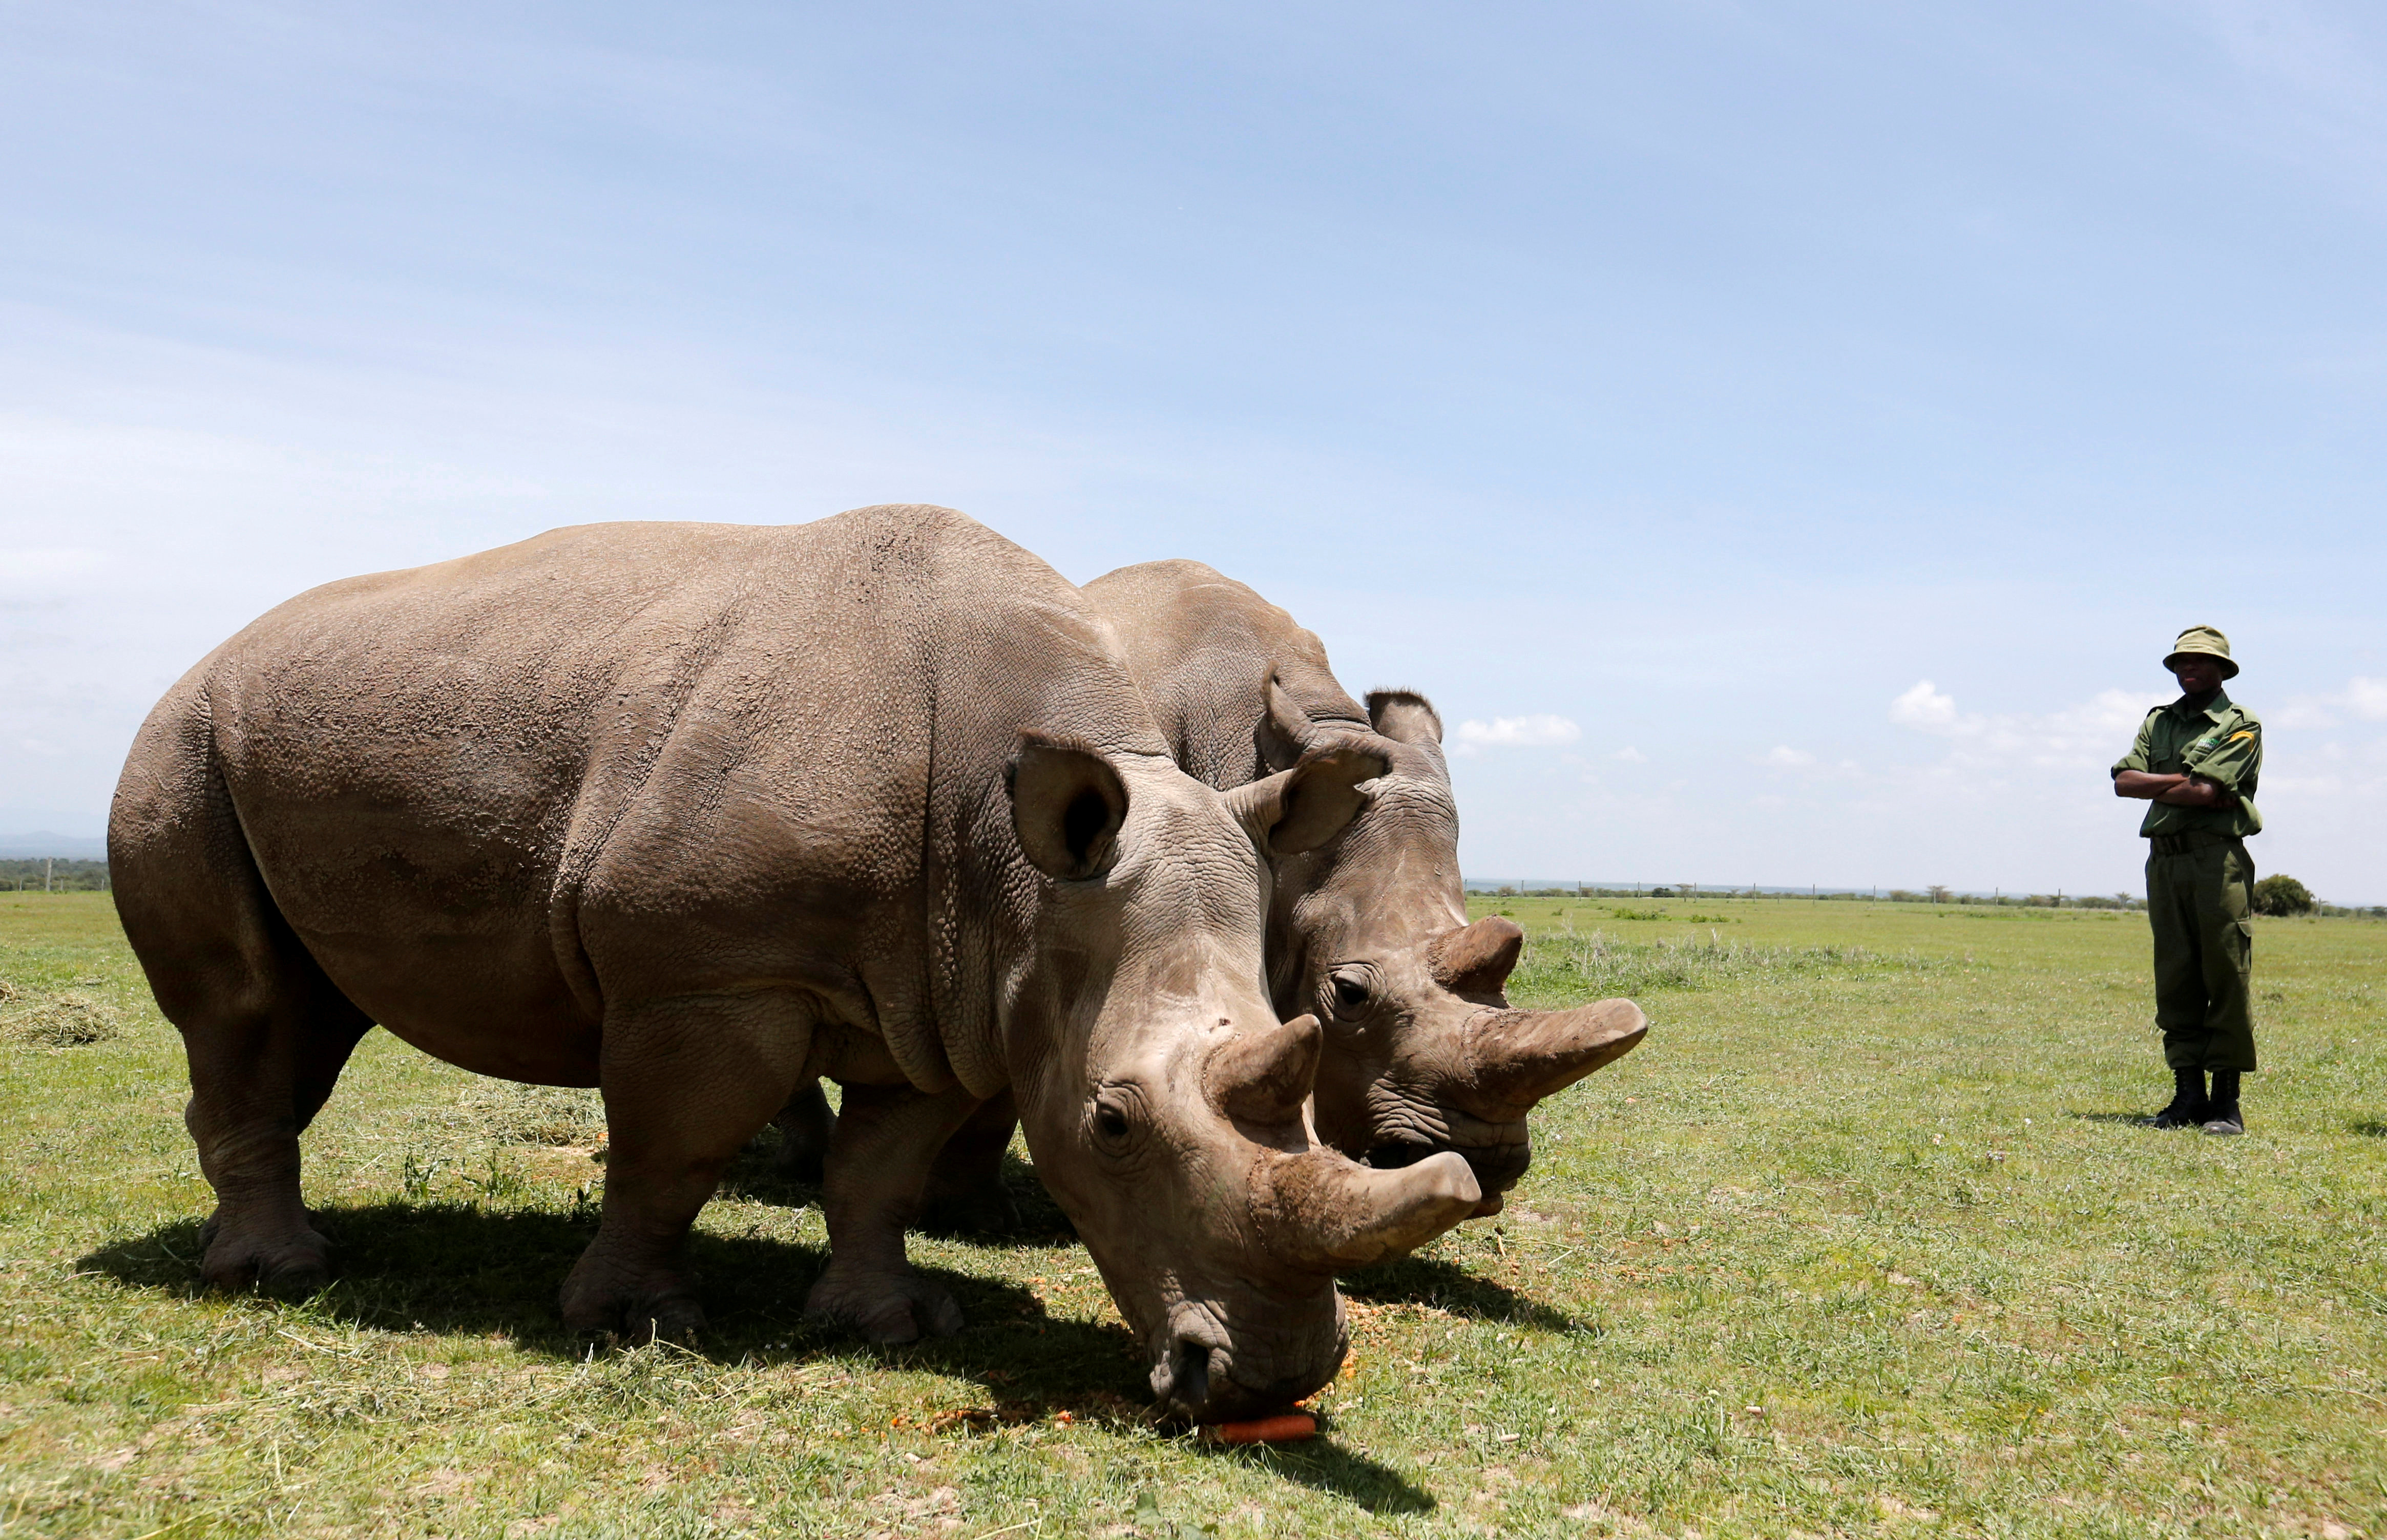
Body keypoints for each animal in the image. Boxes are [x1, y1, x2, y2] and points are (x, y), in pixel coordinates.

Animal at [125, 509, 1489, 1413]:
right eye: (1109, 1126)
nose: (1273, 1378)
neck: (1015, 863)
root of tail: (210, 652)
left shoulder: (953, 991)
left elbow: (878, 1169)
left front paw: (890, 1321)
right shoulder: (705, 969)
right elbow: (669, 1152)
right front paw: (640, 1321)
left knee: (307, 1015)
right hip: (184, 741)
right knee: (244, 1010)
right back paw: (281, 1277)